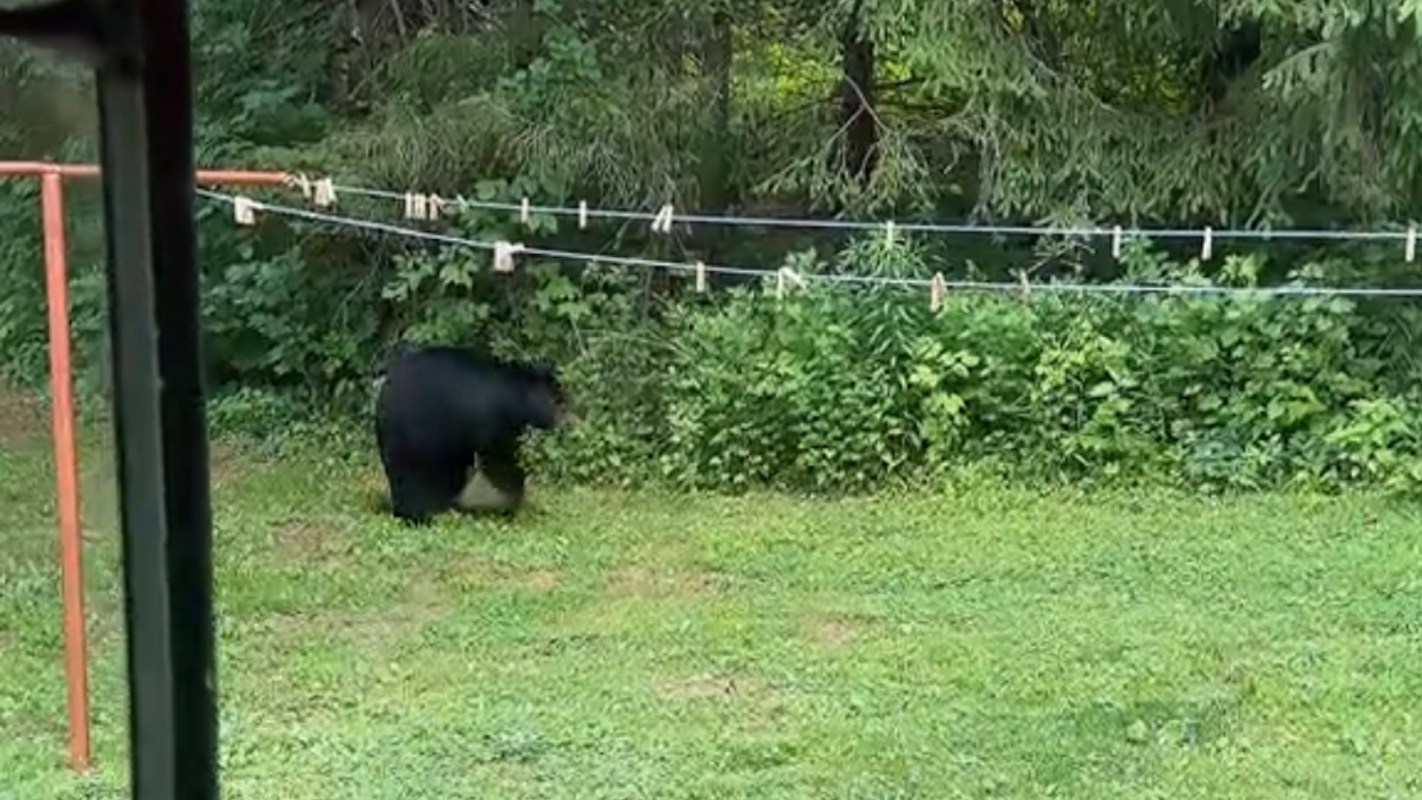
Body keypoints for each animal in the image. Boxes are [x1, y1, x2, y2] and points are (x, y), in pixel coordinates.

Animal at [373, 344, 571, 523]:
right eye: (559, 401)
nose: (568, 422)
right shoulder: (491, 422)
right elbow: (501, 462)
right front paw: (510, 501)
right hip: (415, 436)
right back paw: (420, 514)